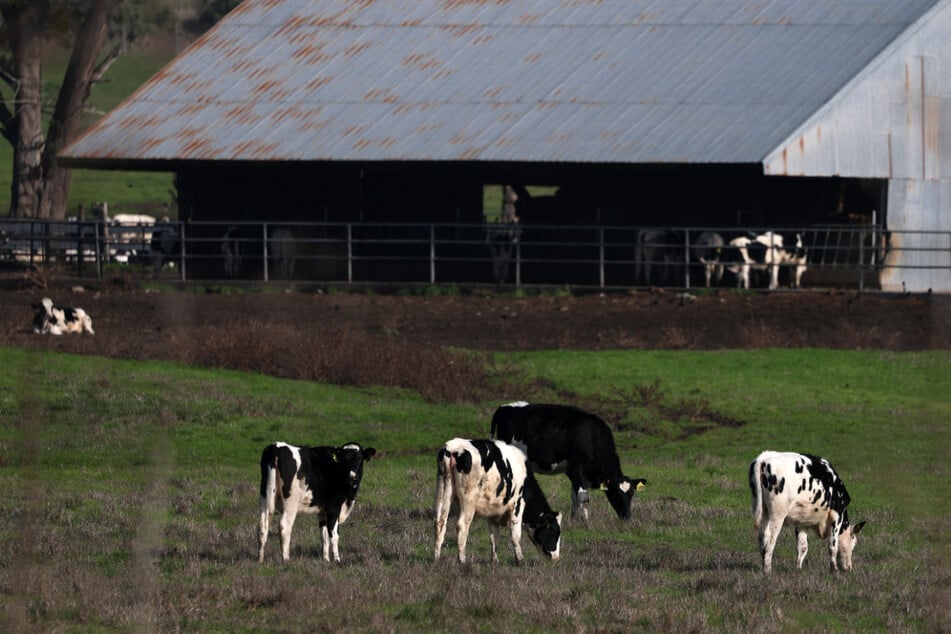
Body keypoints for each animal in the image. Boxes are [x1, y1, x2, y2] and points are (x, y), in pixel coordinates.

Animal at [436, 434, 560, 564]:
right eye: (554, 531)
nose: (556, 557)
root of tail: (453, 447)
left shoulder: (491, 511)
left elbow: (494, 536)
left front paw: (494, 561)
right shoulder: (517, 505)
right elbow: (516, 535)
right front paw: (520, 560)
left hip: (443, 491)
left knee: (440, 522)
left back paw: (437, 559)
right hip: (468, 499)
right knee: (462, 525)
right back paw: (462, 560)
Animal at [490, 400, 648, 520]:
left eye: (631, 494)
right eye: (616, 493)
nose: (627, 517)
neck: (592, 437)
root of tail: (503, 407)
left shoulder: (575, 472)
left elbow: (574, 496)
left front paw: (575, 520)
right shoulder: (576, 468)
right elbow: (583, 497)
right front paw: (586, 522)